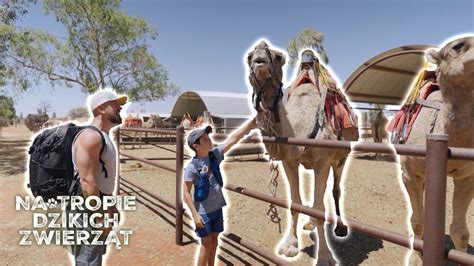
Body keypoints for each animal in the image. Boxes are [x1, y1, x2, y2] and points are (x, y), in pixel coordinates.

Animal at [246, 40, 358, 264]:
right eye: (249, 57)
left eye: (279, 57)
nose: (259, 60)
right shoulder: (289, 162)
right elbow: (295, 203)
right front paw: (290, 245)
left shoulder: (323, 162)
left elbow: (319, 207)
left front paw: (324, 257)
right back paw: (310, 224)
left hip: (341, 158)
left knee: (335, 190)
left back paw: (340, 228)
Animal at [400, 34, 474, 260]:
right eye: (458, 46)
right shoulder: (409, 173)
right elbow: (417, 221)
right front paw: (415, 259)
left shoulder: (467, 177)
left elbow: (461, 232)